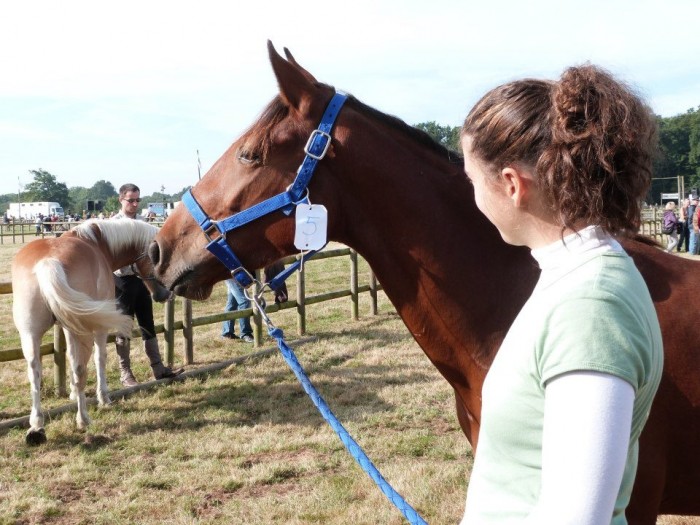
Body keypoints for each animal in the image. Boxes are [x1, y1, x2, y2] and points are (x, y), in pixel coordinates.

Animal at [11, 219, 170, 444]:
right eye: (156, 257)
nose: (165, 294)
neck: (97, 243)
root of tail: (49, 262)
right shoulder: (98, 328)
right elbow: (99, 359)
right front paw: (104, 397)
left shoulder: (66, 327)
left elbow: (69, 357)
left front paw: (72, 394)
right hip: (83, 330)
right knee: (80, 369)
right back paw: (83, 419)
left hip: (31, 334)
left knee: (35, 373)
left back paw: (37, 428)